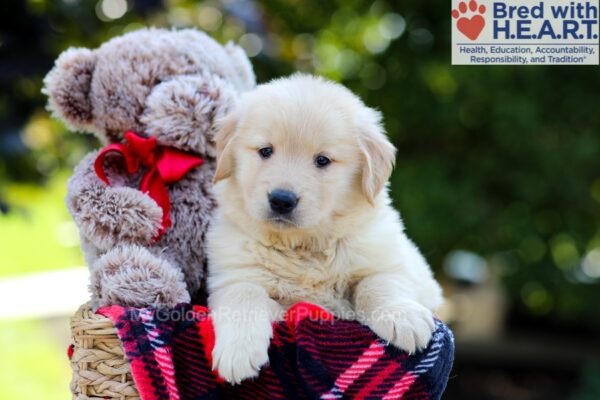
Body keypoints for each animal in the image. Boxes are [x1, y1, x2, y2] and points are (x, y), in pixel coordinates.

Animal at [206, 73, 446, 382]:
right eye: (265, 151)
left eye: (322, 160)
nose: (281, 200)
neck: (303, 245)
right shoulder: (233, 274)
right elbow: (243, 295)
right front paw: (238, 351)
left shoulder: (390, 261)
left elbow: (379, 283)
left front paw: (402, 317)